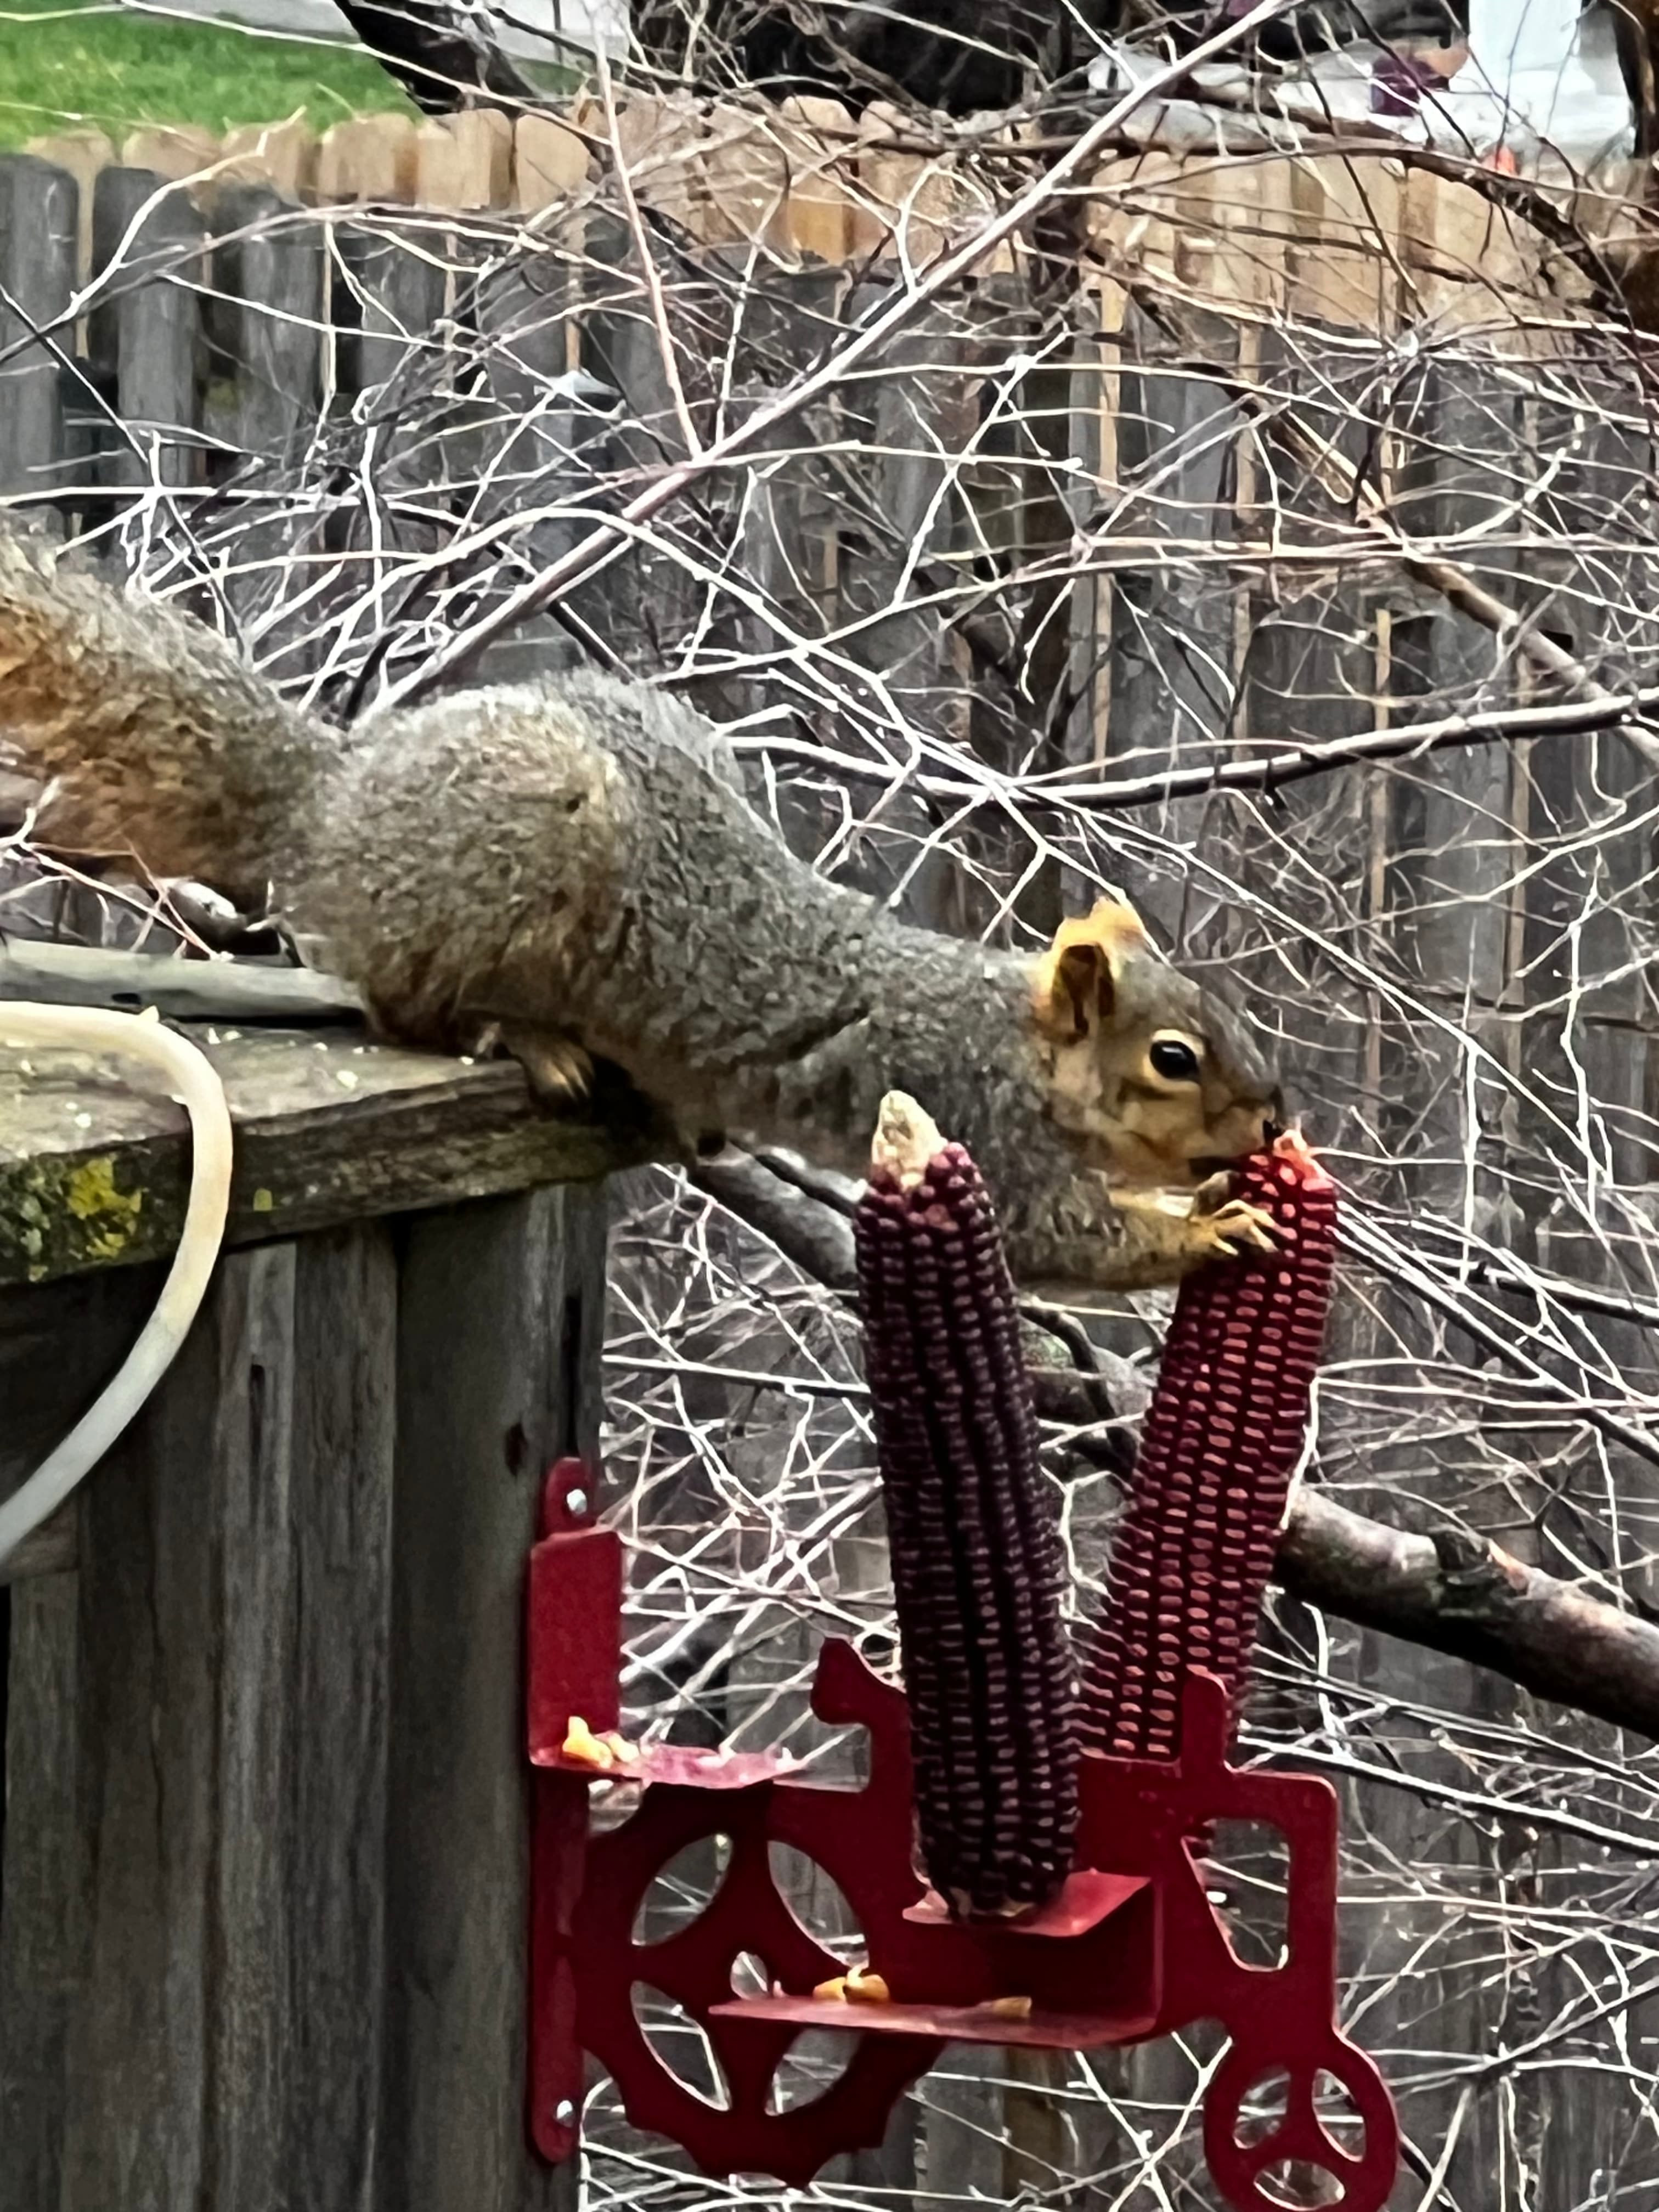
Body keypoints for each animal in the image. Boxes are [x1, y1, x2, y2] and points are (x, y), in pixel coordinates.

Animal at [0, 531, 1284, 1293]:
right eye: (1173, 1057)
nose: (1273, 1122)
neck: (1016, 1044)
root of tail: (331, 803)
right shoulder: (975, 1118)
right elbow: (1060, 1233)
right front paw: (1208, 1230)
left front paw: (1209, 1195)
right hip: (516, 851)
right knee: (404, 1007)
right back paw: (527, 1036)